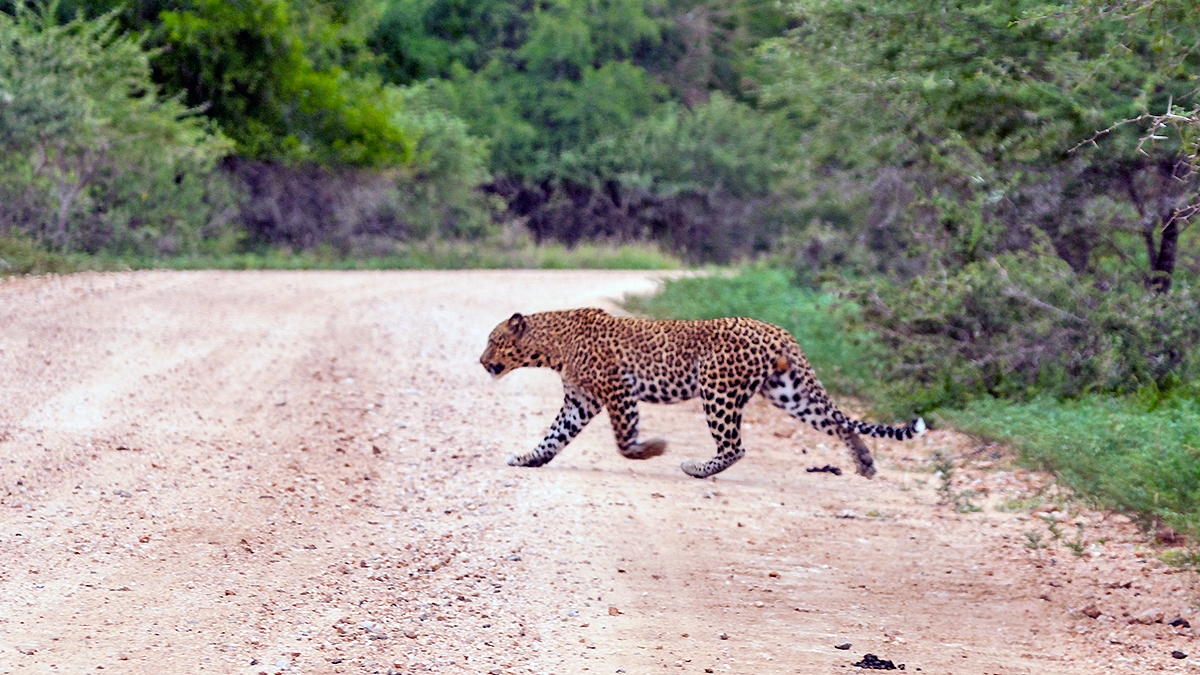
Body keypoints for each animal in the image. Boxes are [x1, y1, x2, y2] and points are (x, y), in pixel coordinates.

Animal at [479, 308, 925, 479]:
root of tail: (778, 330)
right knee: (836, 422)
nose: (482, 361)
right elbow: (554, 436)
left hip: (718, 389)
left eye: (494, 340)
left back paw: (695, 467)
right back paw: (865, 462)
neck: (551, 347)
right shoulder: (580, 400)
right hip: (788, 392)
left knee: (734, 447)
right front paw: (528, 459)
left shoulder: (618, 390)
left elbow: (624, 439)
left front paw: (653, 448)